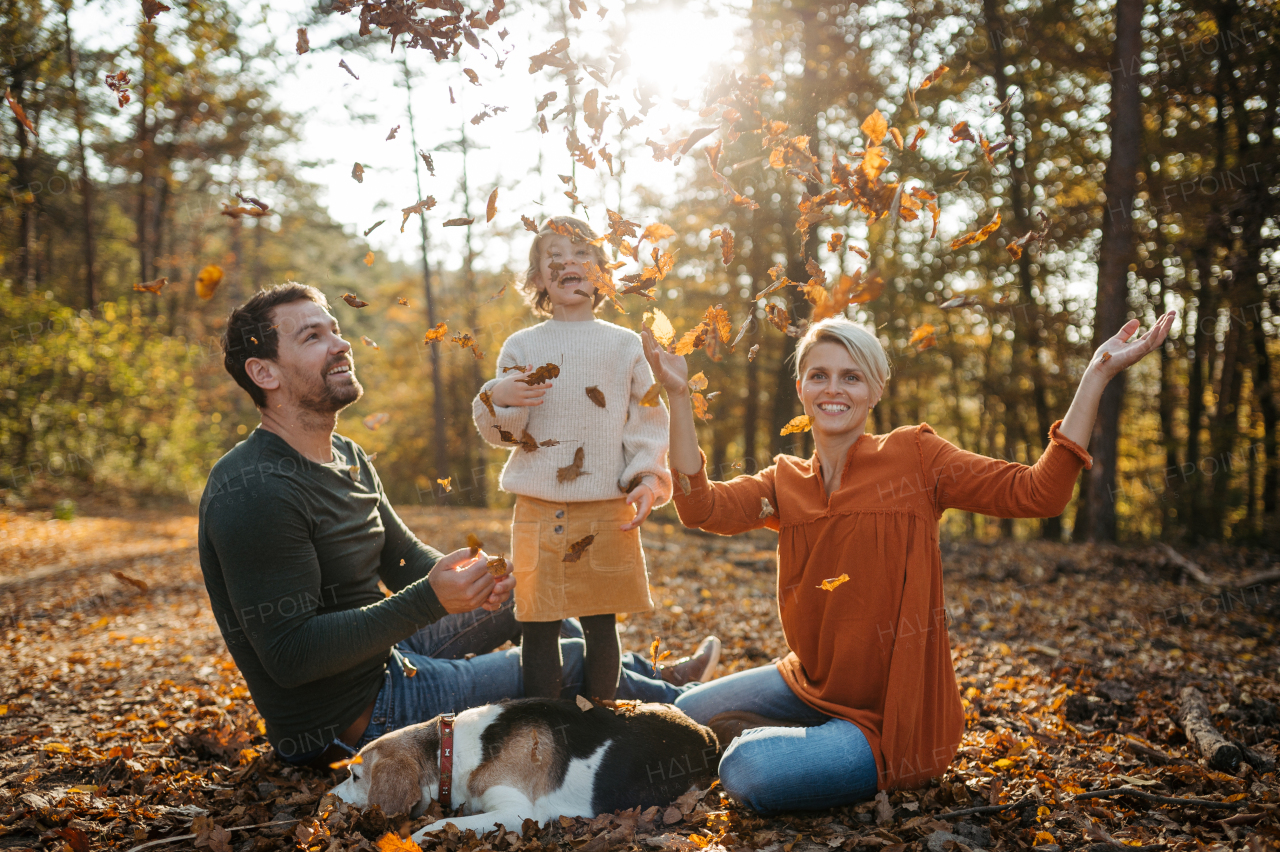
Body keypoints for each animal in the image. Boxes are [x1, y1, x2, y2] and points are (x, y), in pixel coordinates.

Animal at [330, 695, 721, 834]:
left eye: (354, 775)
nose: (327, 798)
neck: (450, 751)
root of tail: (706, 733)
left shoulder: (515, 811)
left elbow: (437, 824)